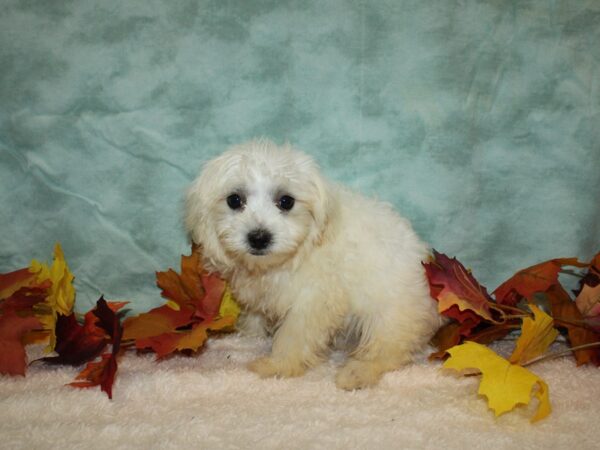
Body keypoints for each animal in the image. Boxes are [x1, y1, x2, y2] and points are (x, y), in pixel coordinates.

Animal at [186, 139, 440, 388]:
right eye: (234, 200)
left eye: (286, 202)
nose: (258, 237)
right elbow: (255, 314)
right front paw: (248, 334)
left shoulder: (314, 299)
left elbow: (294, 335)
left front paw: (278, 365)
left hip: (390, 313)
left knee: (388, 350)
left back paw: (358, 372)